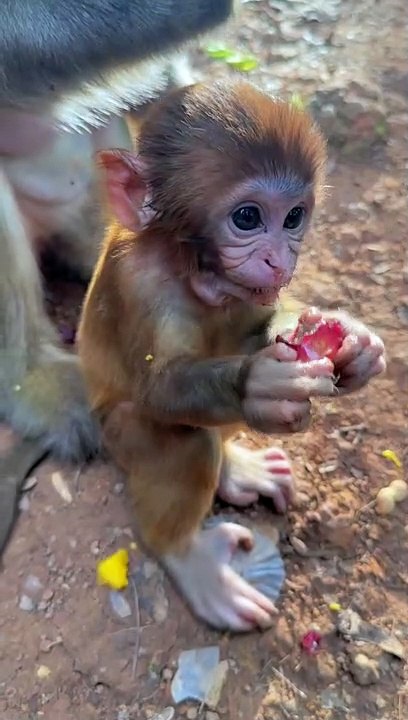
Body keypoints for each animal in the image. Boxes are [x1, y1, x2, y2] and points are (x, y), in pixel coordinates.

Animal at [76, 78, 386, 632]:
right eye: (247, 217)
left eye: (294, 217)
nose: (280, 258)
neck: (194, 271)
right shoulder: (143, 282)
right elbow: (161, 391)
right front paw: (259, 386)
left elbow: (266, 323)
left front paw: (352, 339)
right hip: (118, 439)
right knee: (183, 440)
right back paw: (193, 561)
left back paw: (238, 469)